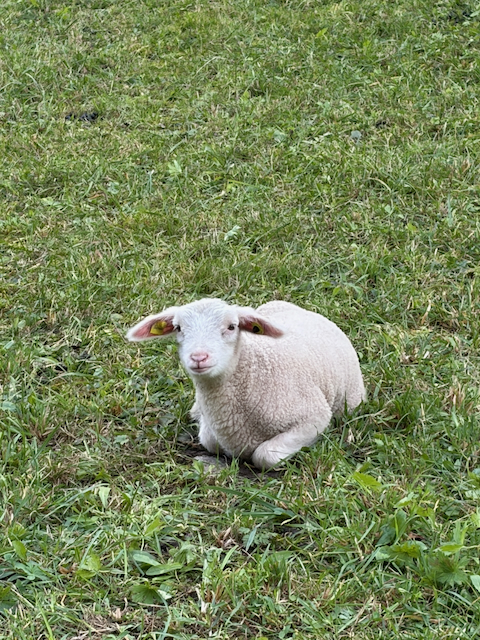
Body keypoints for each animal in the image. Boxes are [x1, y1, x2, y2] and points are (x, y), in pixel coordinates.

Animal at [127, 298, 365, 469]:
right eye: (178, 328)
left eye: (232, 327)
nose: (199, 357)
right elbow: (209, 440)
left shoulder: (314, 416)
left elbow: (265, 456)